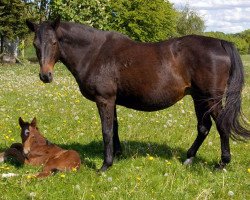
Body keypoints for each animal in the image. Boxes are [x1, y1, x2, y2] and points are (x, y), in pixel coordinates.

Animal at [25, 16, 250, 172]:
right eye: (35, 44)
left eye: (54, 42)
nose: (45, 75)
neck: (95, 53)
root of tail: (220, 43)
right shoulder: (112, 100)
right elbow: (114, 128)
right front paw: (117, 154)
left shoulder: (104, 99)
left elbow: (106, 131)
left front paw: (105, 165)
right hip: (199, 98)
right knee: (204, 128)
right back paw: (189, 157)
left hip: (211, 99)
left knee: (221, 126)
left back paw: (222, 163)